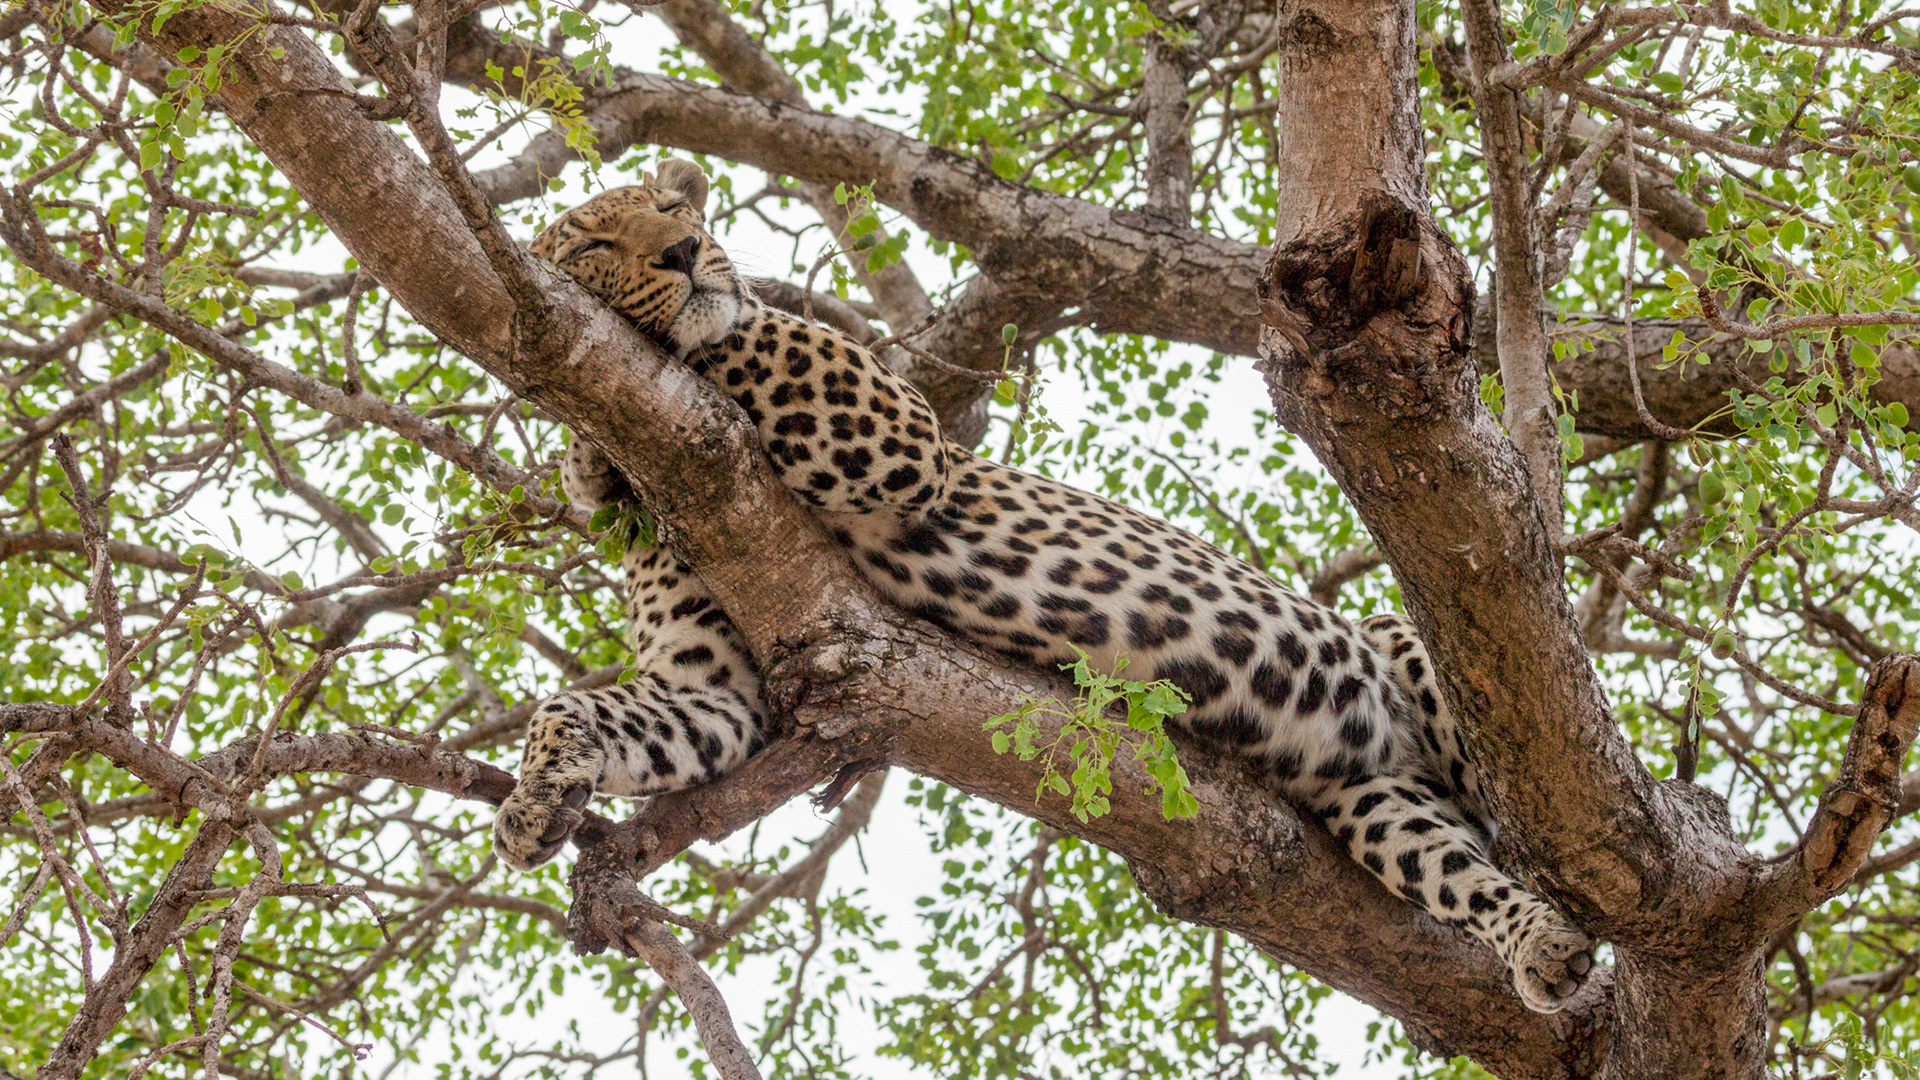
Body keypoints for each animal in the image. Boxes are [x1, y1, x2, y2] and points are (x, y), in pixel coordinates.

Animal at [489, 159, 1598, 1014]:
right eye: (591, 245)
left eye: (667, 210)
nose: (679, 252)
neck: (650, 454)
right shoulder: (720, 686)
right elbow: (600, 710)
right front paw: (536, 797)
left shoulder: (897, 443)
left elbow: (747, 328)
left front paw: (692, 324)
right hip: (1377, 802)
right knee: (1455, 866)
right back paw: (1541, 946)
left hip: (1414, 660)